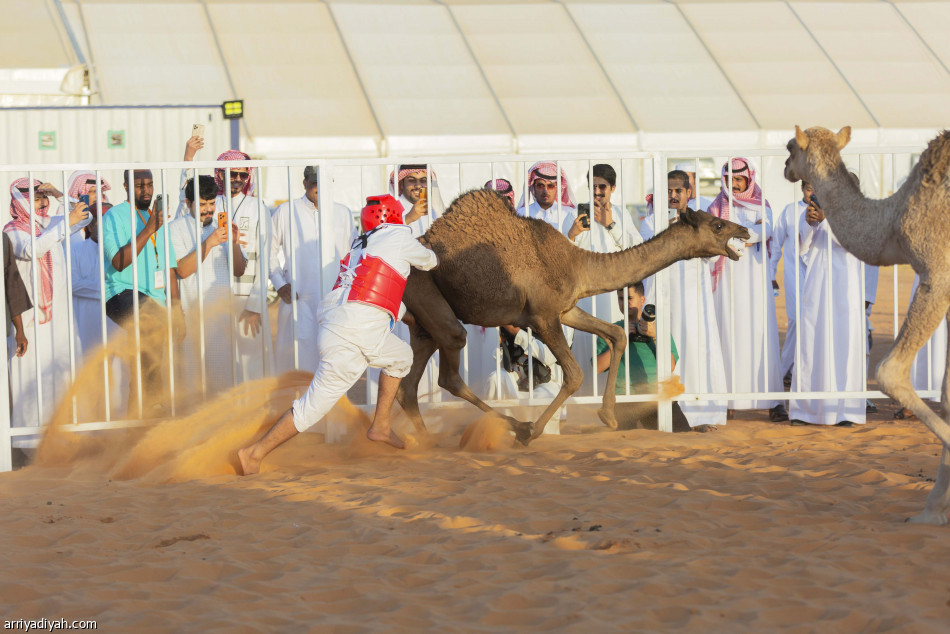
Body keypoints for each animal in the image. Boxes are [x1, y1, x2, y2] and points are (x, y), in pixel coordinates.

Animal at [396, 188, 752, 444]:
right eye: (718, 225)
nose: (746, 231)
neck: (576, 262)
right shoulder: (542, 317)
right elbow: (576, 375)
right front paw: (534, 432)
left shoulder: (566, 310)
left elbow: (616, 334)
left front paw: (608, 416)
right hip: (425, 292)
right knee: (450, 372)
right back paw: (518, 427)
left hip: (423, 324)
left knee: (409, 387)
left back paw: (426, 442)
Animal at [784, 124, 950, 524]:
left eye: (790, 146)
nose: (784, 167)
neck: (892, 219)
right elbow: (948, 393)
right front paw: (932, 511)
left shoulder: (938, 274)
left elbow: (890, 372)